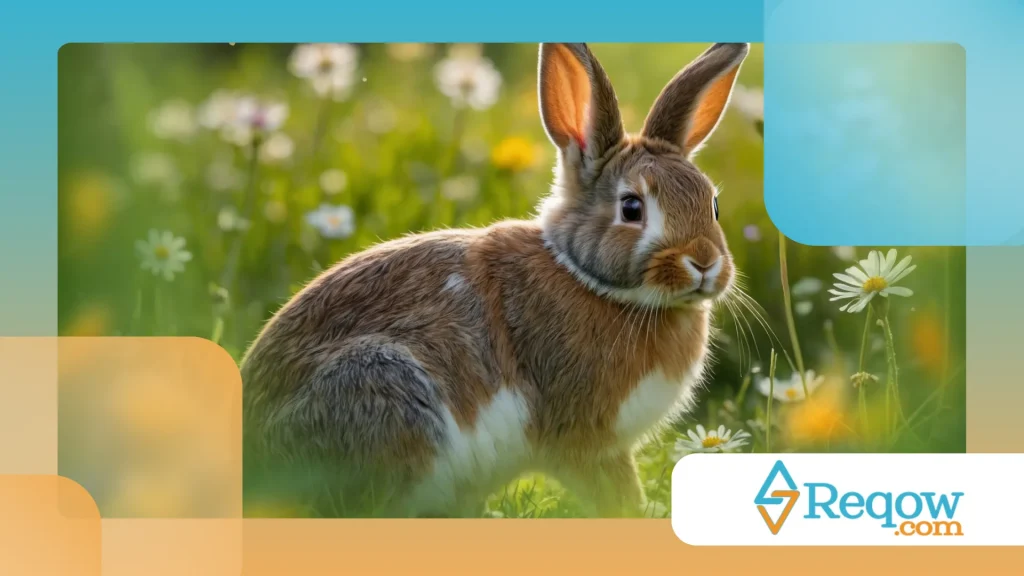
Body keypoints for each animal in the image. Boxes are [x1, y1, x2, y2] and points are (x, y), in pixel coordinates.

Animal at [241, 42, 749, 518]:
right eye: (631, 208)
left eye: (713, 205)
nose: (704, 262)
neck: (591, 281)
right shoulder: (587, 441)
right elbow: (613, 493)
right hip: (384, 387)